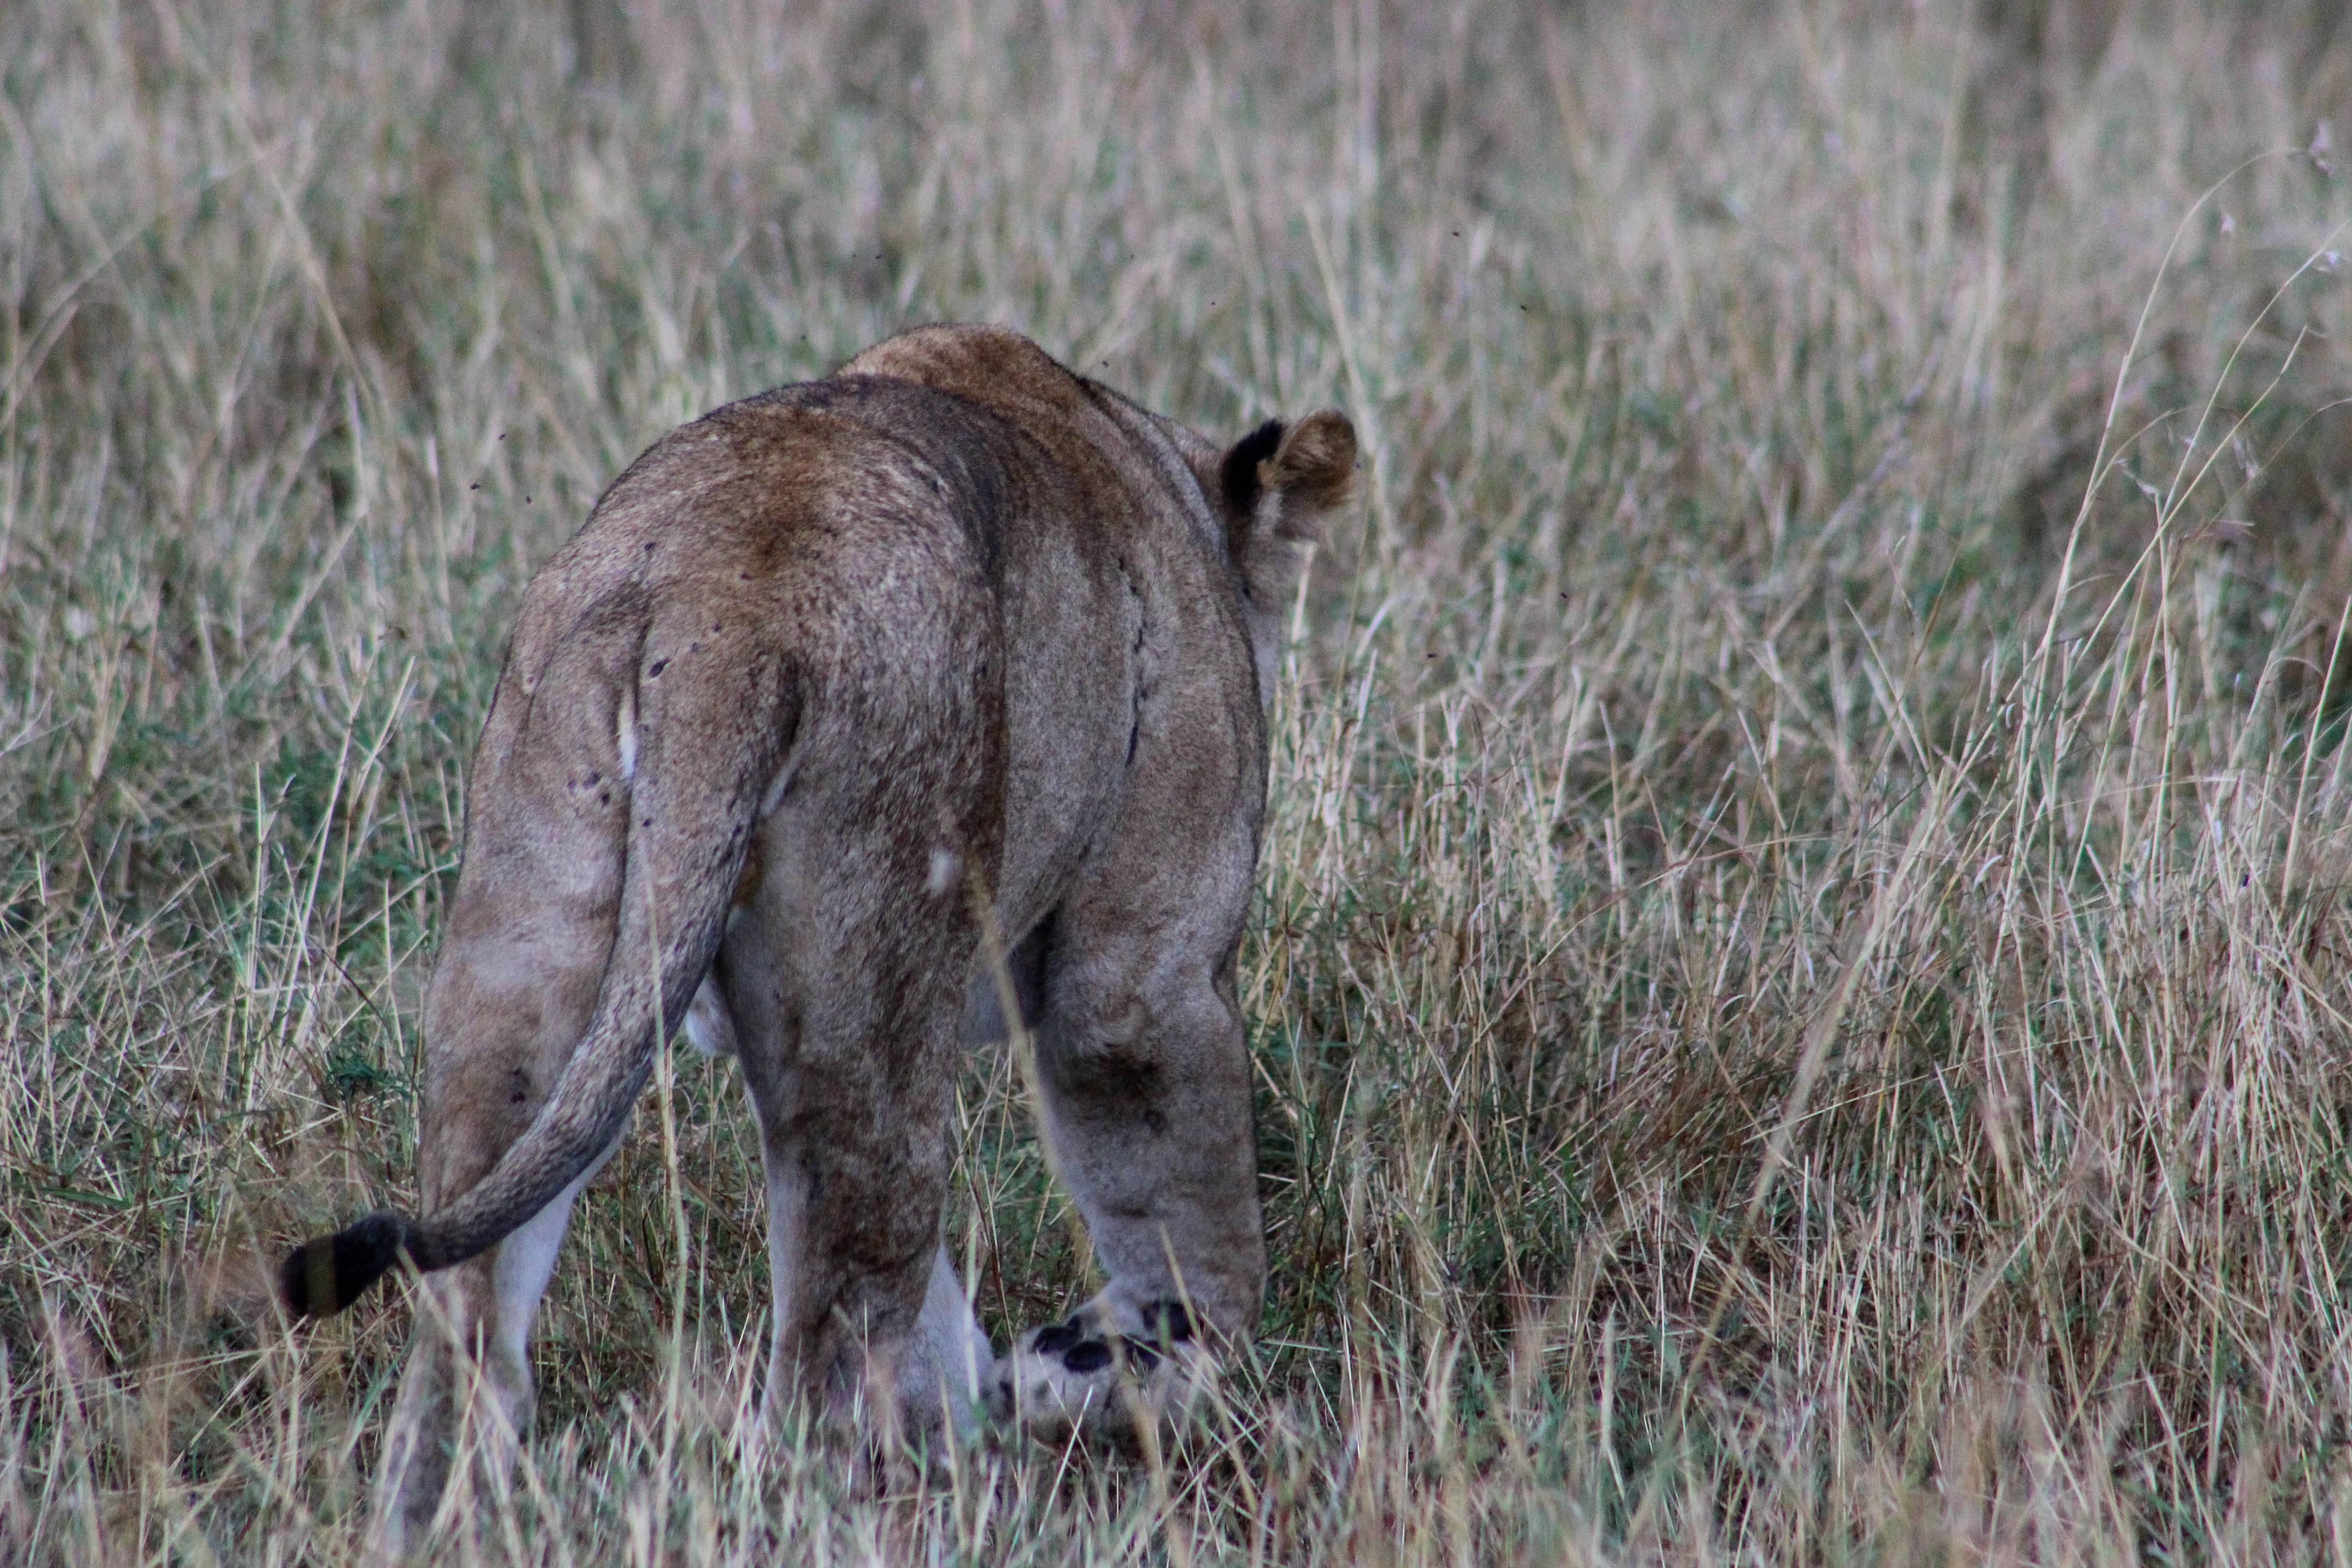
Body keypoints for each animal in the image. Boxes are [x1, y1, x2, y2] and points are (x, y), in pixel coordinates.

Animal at [284, 324, 1364, 1551]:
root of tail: (720, 611)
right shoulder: (1149, 959)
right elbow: (1179, 1197)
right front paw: (1154, 1370)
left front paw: (1005, 1396)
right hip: (876, 983)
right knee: (830, 1369)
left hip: (531, 941)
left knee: (474, 1336)